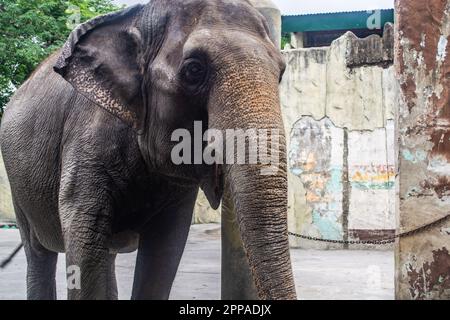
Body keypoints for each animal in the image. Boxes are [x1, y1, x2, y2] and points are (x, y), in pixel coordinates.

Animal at [0, 0, 298, 300]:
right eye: (194, 70)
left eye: (281, 73)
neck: (138, 19)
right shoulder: (86, 138)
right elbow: (85, 238)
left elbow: (164, 250)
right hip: (18, 184)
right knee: (38, 253)